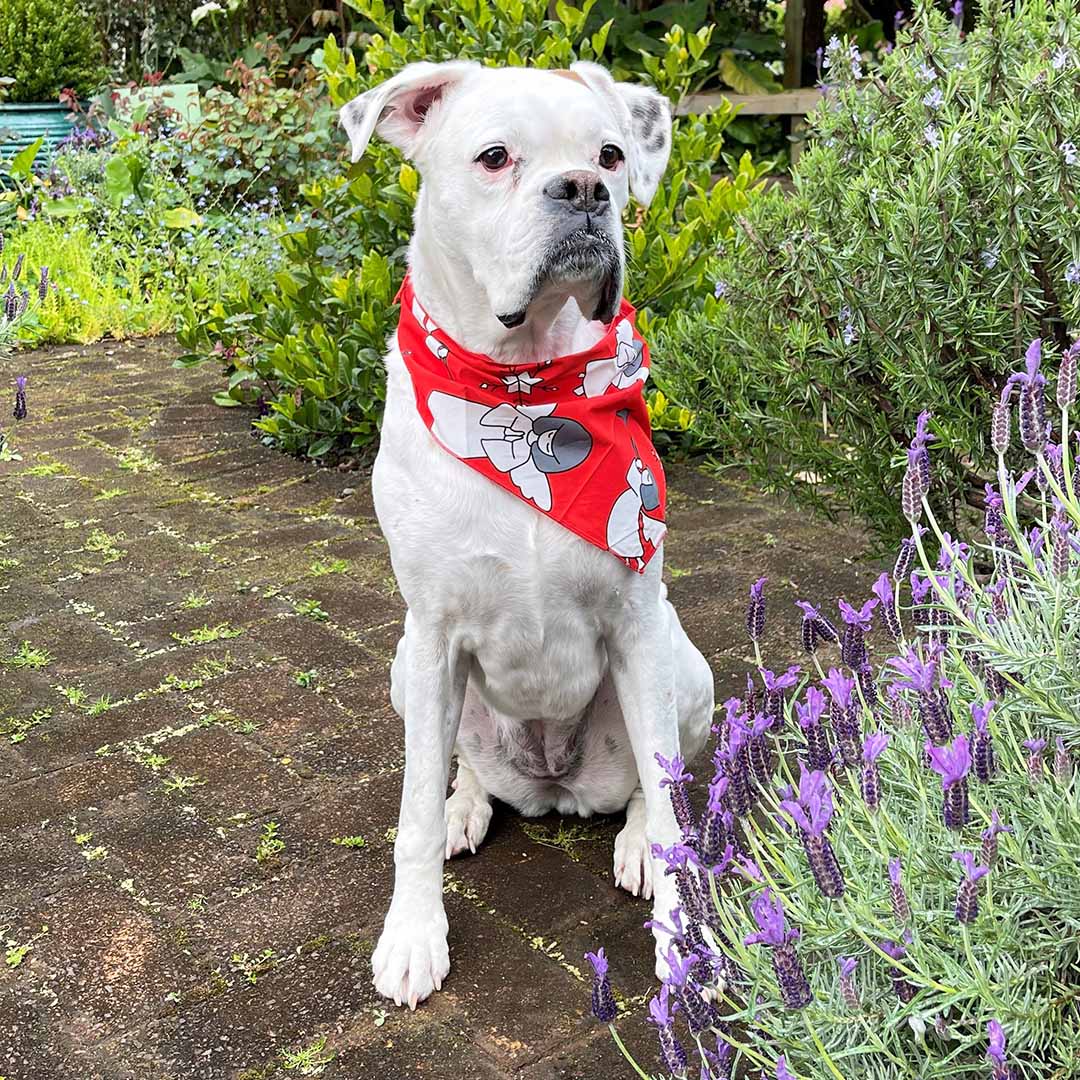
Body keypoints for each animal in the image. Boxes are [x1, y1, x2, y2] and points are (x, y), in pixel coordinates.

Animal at [343, 61, 717, 1010]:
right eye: (494, 157)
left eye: (613, 153)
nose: (584, 190)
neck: (524, 391)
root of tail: (553, 790)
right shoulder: (433, 634)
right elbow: (407, 811)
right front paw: (413, 936)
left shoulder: (635, 622)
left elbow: (669, 799)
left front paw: (684, 940)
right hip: (406, 670)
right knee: (461, 765)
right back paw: (464, 807)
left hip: (681, 660)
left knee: (649, 783)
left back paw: (632, 842)